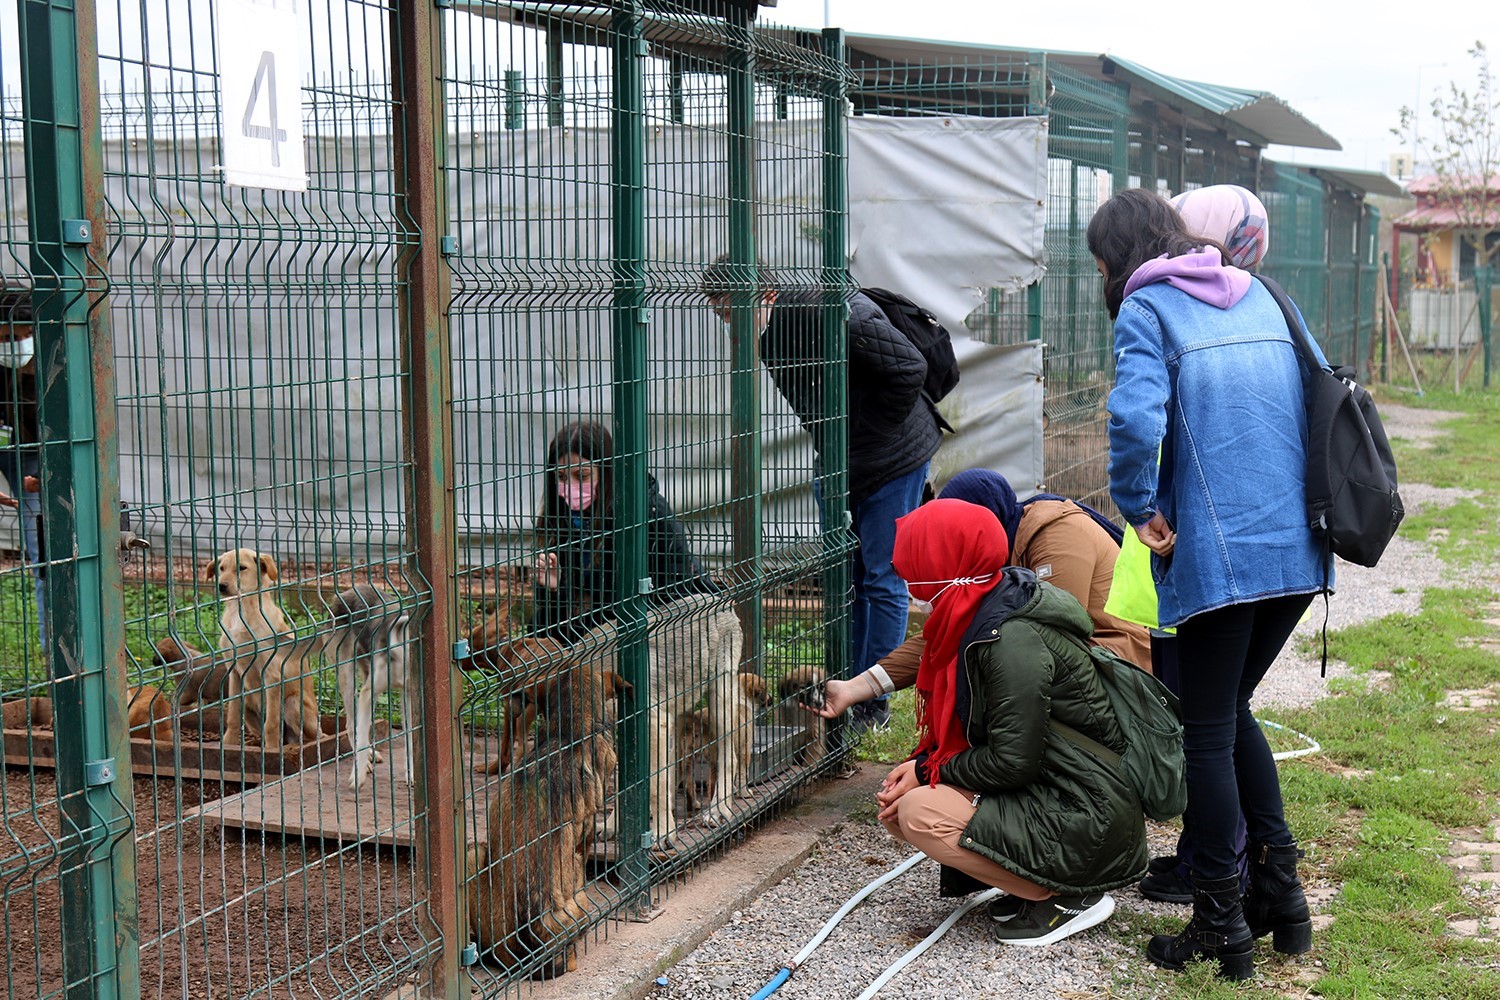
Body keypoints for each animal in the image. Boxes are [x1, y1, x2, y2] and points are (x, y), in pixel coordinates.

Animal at [210, 548, 321, 749]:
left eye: (241, 568)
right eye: (221, 568)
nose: (221, 586)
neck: (242, 610)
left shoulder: (272, 675)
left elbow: (272, 723)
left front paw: (270, 750)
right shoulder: (234, 674)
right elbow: (233, 716)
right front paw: (228, 744)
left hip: (293, 703)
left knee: (310, 737)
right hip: (248, 701)